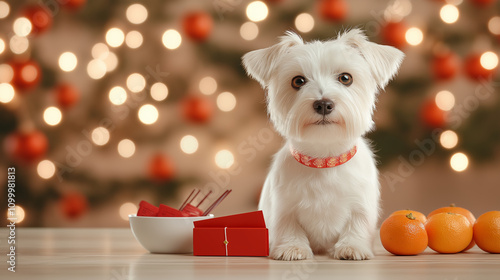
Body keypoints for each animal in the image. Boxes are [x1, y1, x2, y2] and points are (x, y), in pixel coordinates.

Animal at [243, 29, 406, 262]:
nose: (323, 104)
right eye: (298, 81)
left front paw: (353, 246)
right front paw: (292, 248)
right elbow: (288, 226)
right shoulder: (284, 205)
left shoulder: (360, 203)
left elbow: (357, 224)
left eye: (346, 78)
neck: (323, 158)